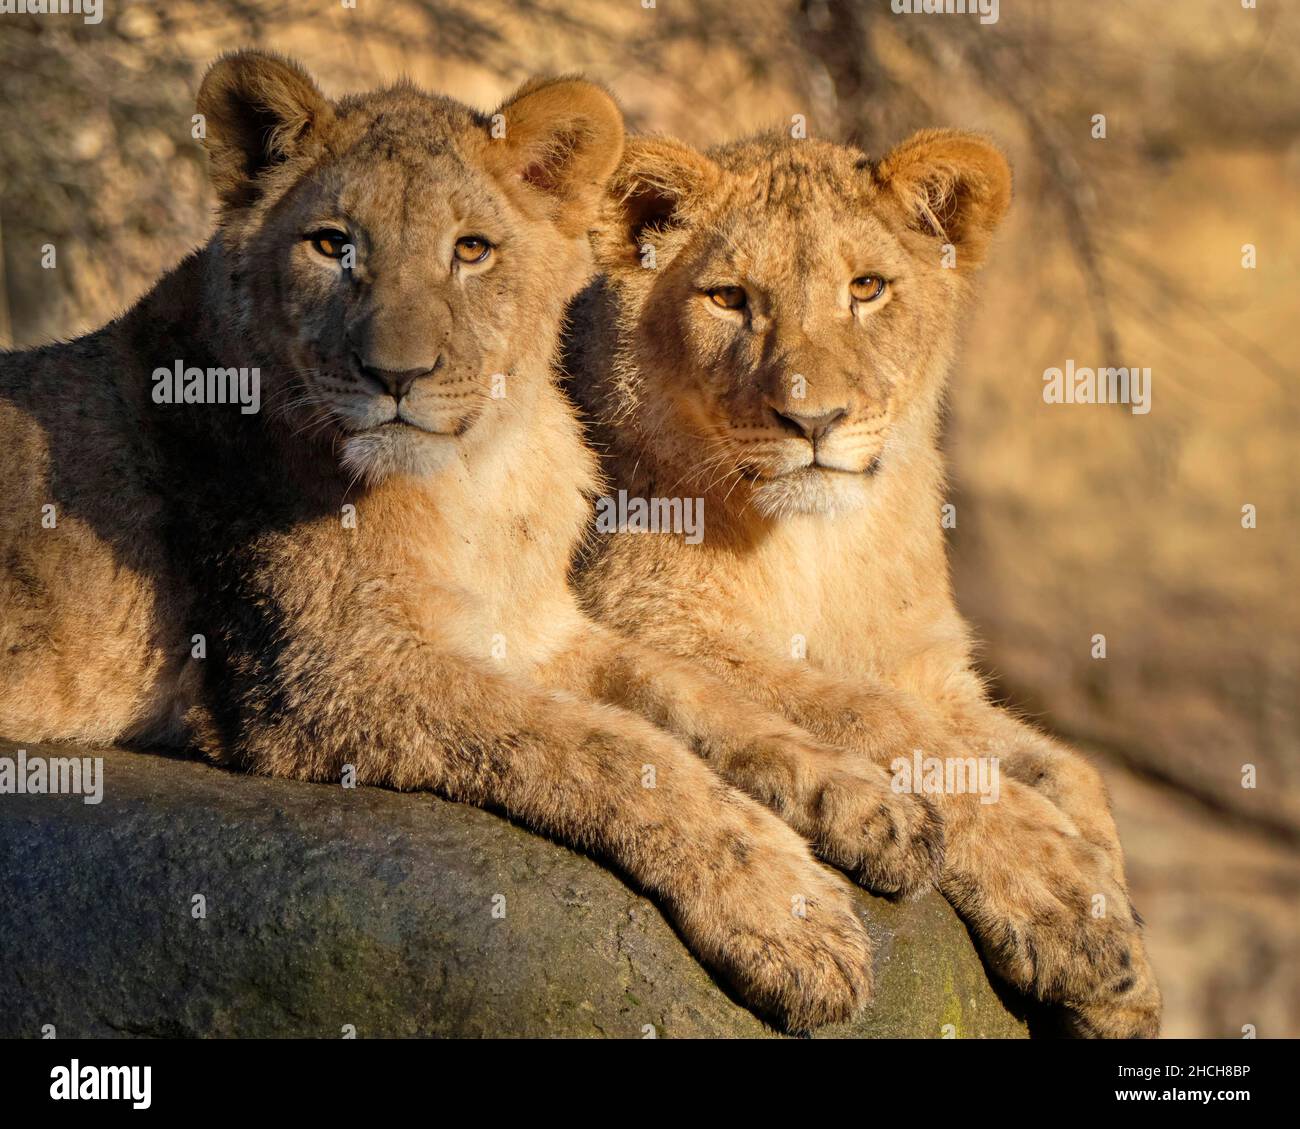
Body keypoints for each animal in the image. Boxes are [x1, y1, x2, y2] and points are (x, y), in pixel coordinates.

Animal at [0, 52, 955, 1032]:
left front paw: (872, 805)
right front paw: (788, 915)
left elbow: (696, 697)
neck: (475, 476)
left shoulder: (537, 626)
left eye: (471, 250)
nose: (396, 375)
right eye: (331, 245)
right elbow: (607, 747)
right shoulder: (326, 677)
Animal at [566, 130, 1162, 1037]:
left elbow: (1069, 770)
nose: (814, 421)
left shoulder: (932, 669)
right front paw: (1061, 895)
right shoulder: (635, 618)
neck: (822, 545)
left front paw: (1125, 973)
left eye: (868, 288)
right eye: (730, 298)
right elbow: (876, 716)